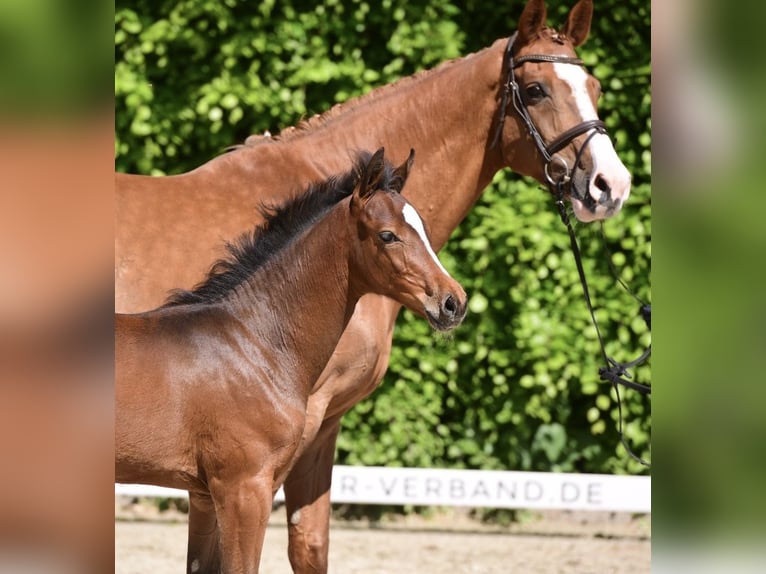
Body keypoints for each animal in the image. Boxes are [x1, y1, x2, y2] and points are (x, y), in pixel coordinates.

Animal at [115, 150, 468, 574]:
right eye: (387, 235)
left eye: (425, 231)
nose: (453, 302)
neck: (253, 345)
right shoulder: (243, 489)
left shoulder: (205, 494)